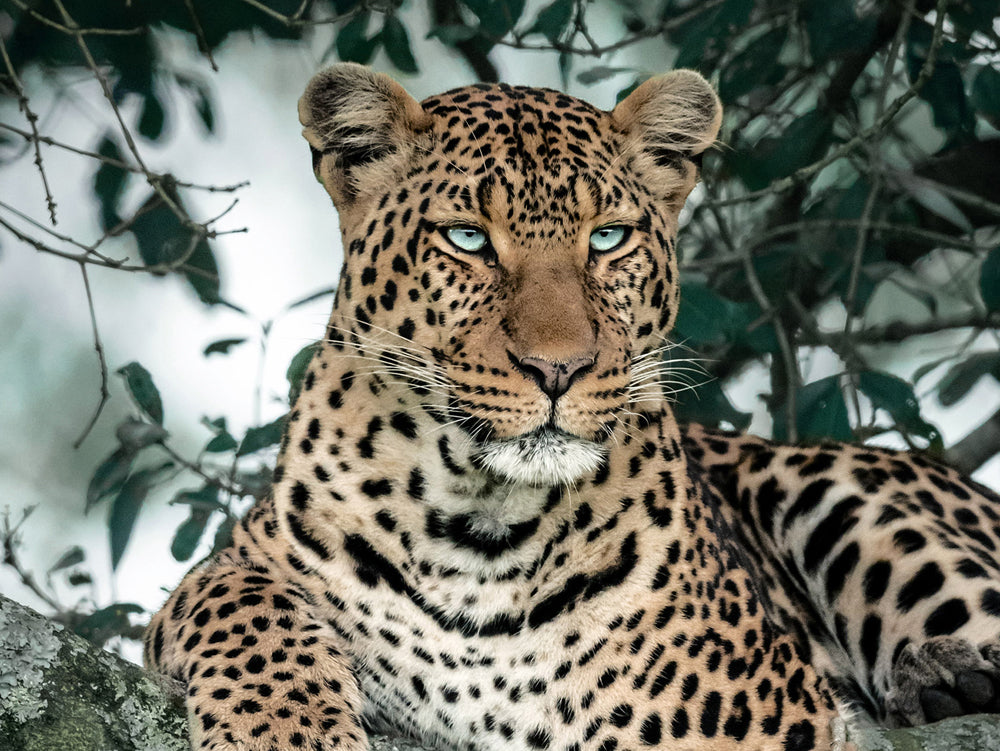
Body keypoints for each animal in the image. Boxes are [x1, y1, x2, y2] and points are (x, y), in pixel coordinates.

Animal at [145, 63, 1000, 751]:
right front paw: (284, 729)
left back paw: (944, 673)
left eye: (609, 238)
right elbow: (246, 607)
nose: (558, 368)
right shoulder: (231, 566)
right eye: (467, 238)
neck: (479, 528)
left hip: (834, 491)